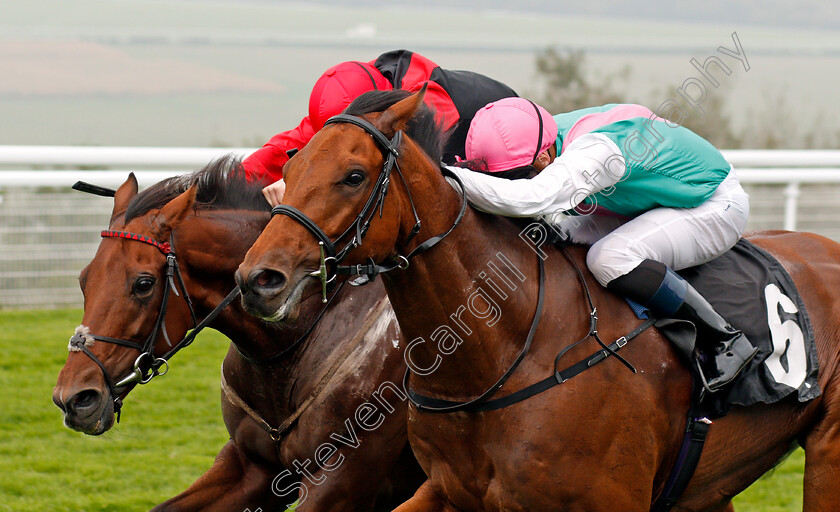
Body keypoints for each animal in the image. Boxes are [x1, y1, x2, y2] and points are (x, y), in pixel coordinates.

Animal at [235, 90, 840, 510]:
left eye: (354, 176)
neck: (502, 358)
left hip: (826, 450)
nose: (259, 277)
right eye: (290, 168)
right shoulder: (448, 490)